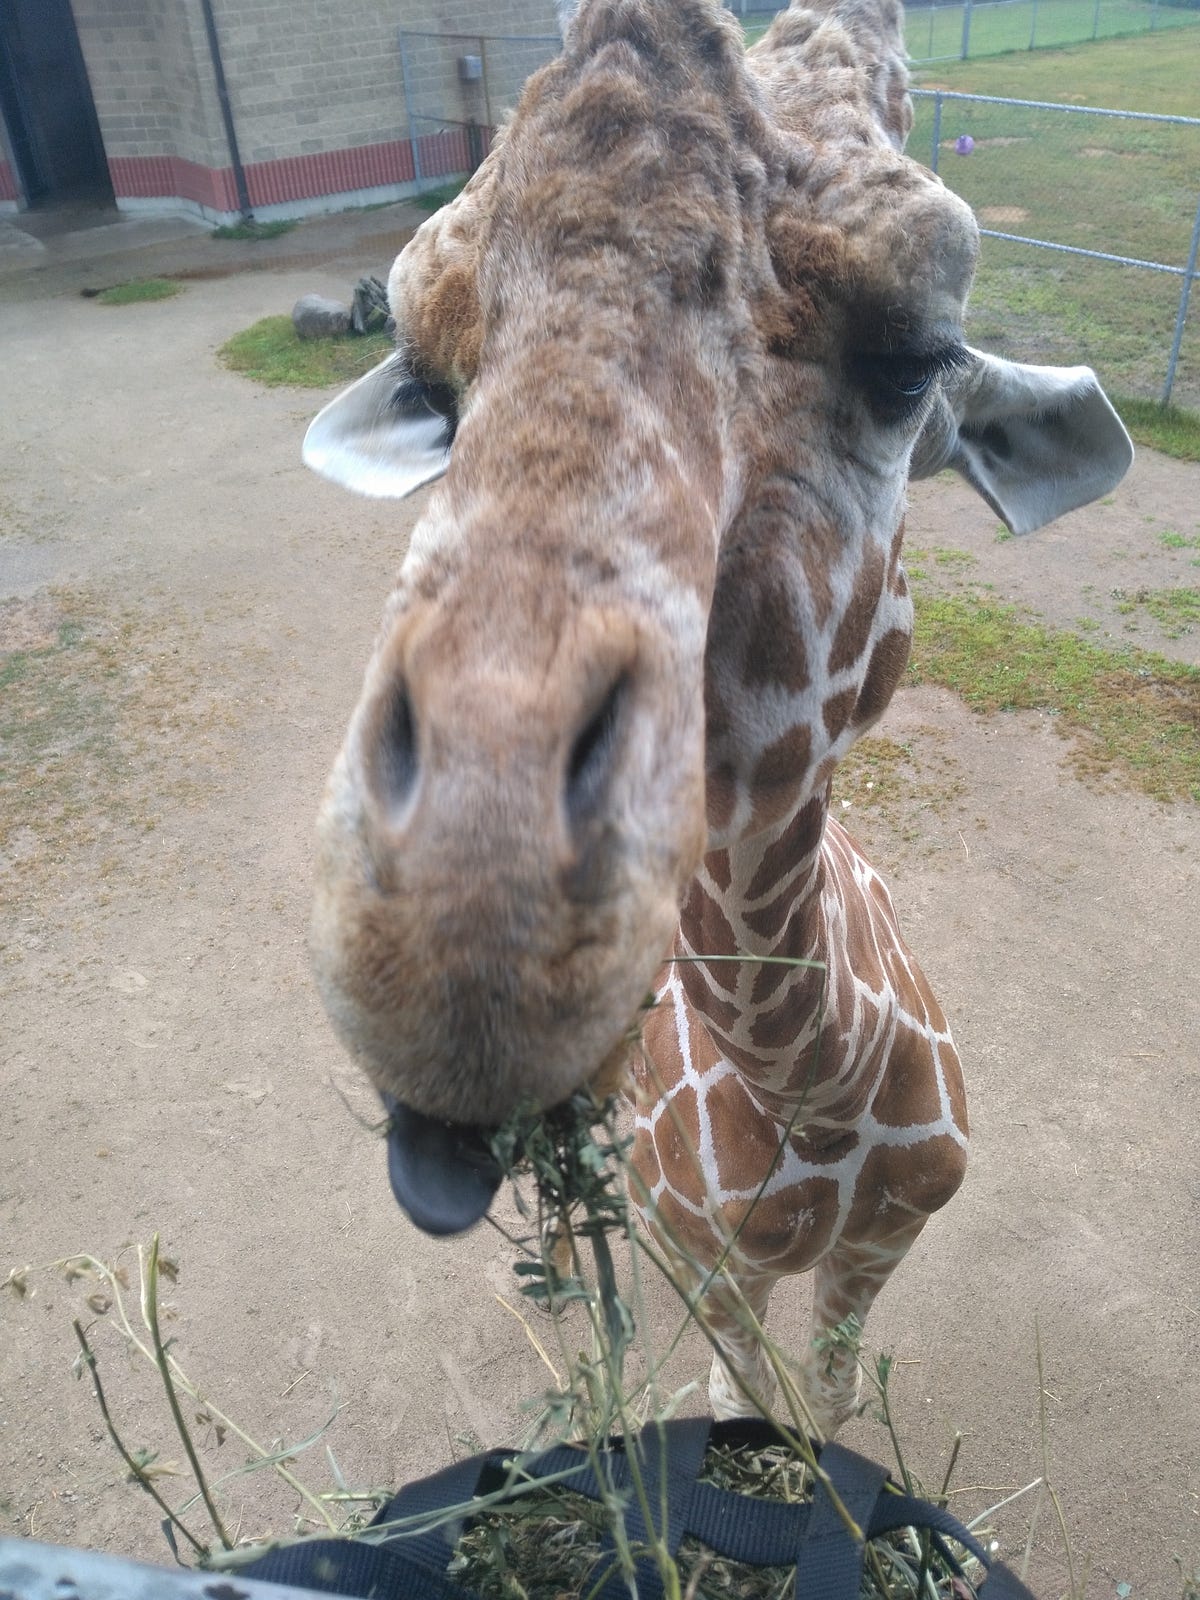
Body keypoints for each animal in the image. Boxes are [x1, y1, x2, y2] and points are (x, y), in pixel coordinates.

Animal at [301, 0, 1132, 1430]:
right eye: (433, 388)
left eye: (916, 357)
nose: (455, 943)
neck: (817, 1091)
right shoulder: (712, 1269)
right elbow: (762, 1419)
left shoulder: (883, 1243)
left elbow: (834, 1410)